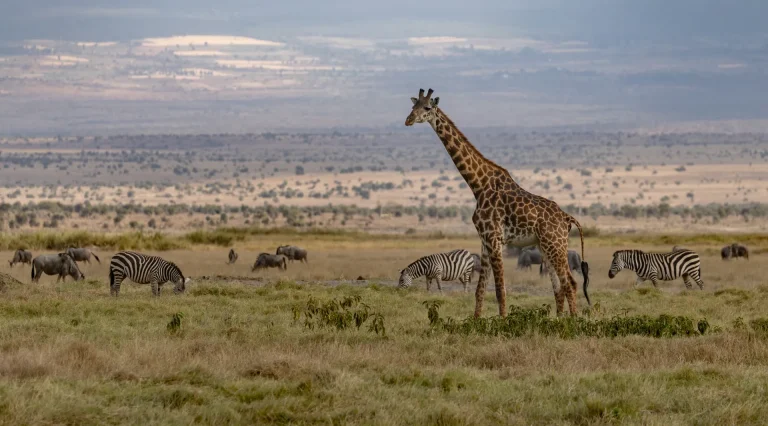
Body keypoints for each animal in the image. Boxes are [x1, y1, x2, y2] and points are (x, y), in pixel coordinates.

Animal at [404, 88, 590, 317]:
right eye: (413, 106)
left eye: (427, 107)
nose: (408, 120)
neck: (478, 185)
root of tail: (567, 218)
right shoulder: (484, 240)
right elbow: (480, 289)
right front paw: (476, 320)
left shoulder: (495, 239)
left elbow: (500, 289)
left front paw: (503, 320)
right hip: (546, 246)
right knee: (558, 287)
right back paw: (559, 319)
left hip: (555, 244)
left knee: (570, 283)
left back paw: (572, 320)